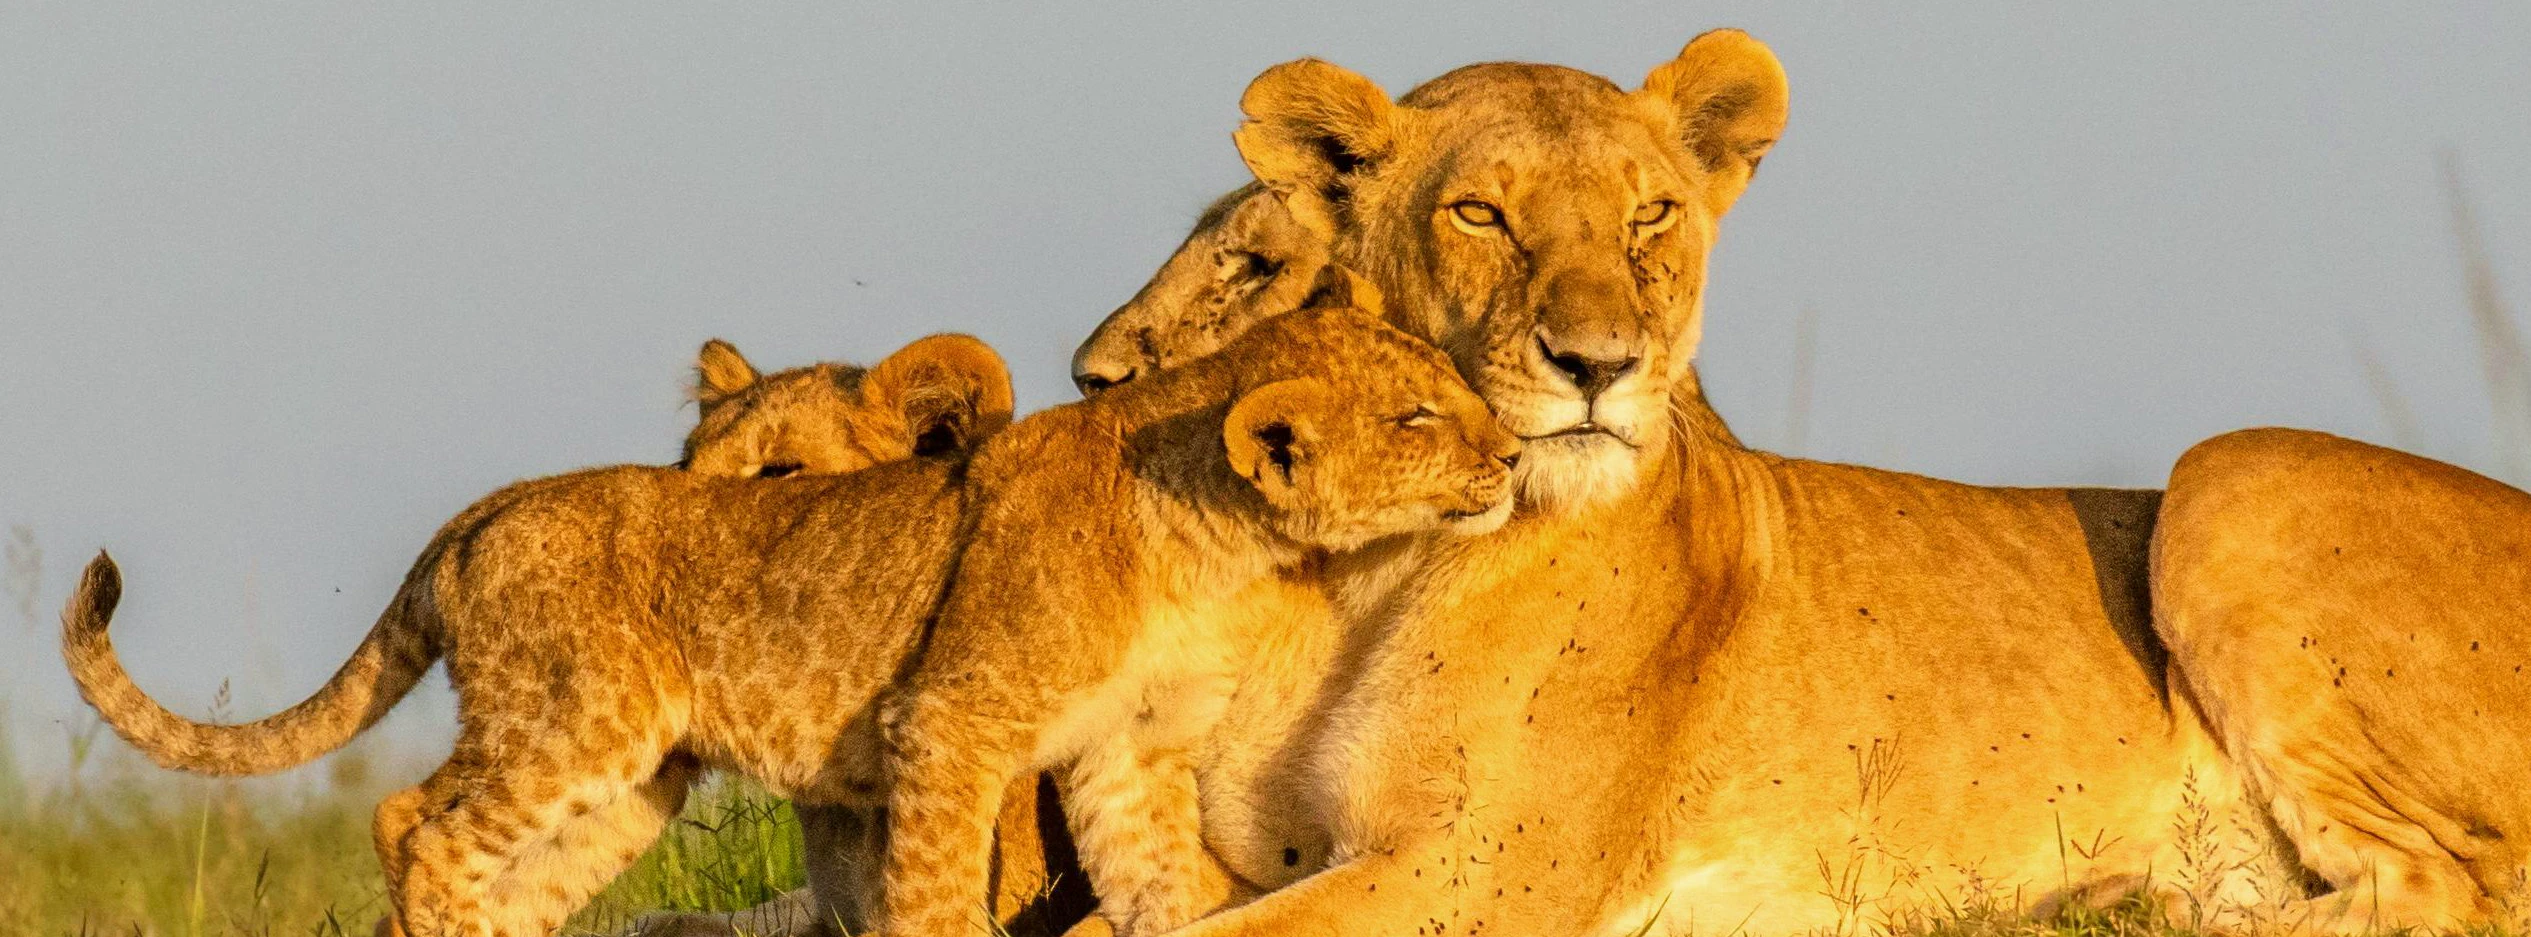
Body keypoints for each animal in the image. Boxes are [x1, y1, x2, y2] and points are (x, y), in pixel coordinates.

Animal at [61, 298, 1515, 937]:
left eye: (1452, 398)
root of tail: (489, 504)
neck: (1216, 537)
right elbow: (933, 902)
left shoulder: (1123, 754)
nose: (1510, 455)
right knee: (413, 823)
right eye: (1418, 418)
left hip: (631, 786)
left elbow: (1171, 888)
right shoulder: (948, 724)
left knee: (505, 870)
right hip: (575, 720)